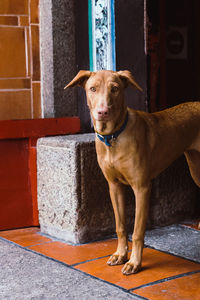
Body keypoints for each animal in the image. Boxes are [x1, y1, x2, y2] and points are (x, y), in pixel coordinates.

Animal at [65, 69, 199, 274]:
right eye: (93, 89)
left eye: (115, 89)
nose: (103, 112)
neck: (113, 137)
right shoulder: (114, 187)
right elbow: (120, 226)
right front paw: (120, 255)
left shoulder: (142, 188)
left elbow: (137, 231)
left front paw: (135, 262)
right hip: (194, 165)